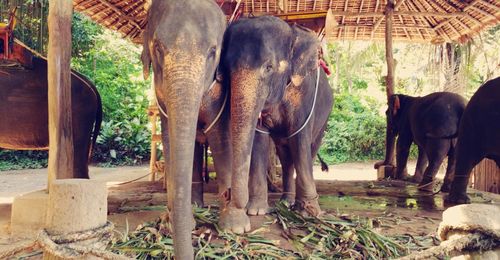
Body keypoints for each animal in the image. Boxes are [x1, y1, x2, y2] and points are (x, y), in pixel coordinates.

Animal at [218, 16, 332, 234]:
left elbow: (300, 138)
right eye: (226, 69)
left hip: (325, 119)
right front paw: (256, 210)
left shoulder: (303, 93)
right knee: (285, 157)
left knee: (309, 149)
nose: (229, 198)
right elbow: (259, 140)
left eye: (269, 67)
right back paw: (285, 202)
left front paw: (308, 212)